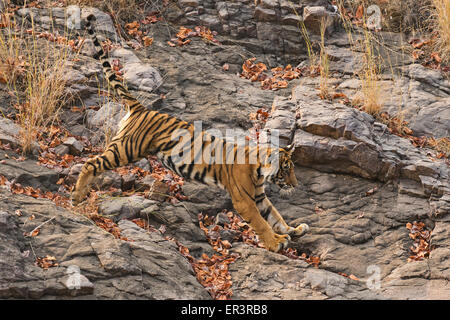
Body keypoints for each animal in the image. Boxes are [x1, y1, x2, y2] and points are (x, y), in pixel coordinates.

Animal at [72, 13, 310, 251]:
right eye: (286, 170)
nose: (296, 185)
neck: (259, 171)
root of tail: (141, 108)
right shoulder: (245, 201)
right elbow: (262, 223)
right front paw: (276, 242)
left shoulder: (259, 197)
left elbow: (275, 216)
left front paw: (293, 230)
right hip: (126, 149)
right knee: (91, 163)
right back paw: (76, 196)